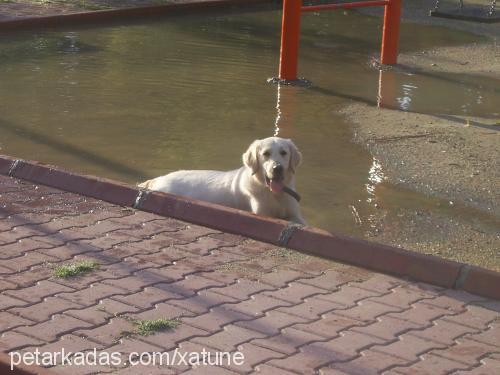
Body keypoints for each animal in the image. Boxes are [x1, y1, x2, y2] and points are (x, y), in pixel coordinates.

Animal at [139, 138, 306, 226]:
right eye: (266, 154)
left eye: (284, 153)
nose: (277, 168)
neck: (273, 194)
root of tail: (157, 179)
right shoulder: (263, 213)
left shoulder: (295, 215)